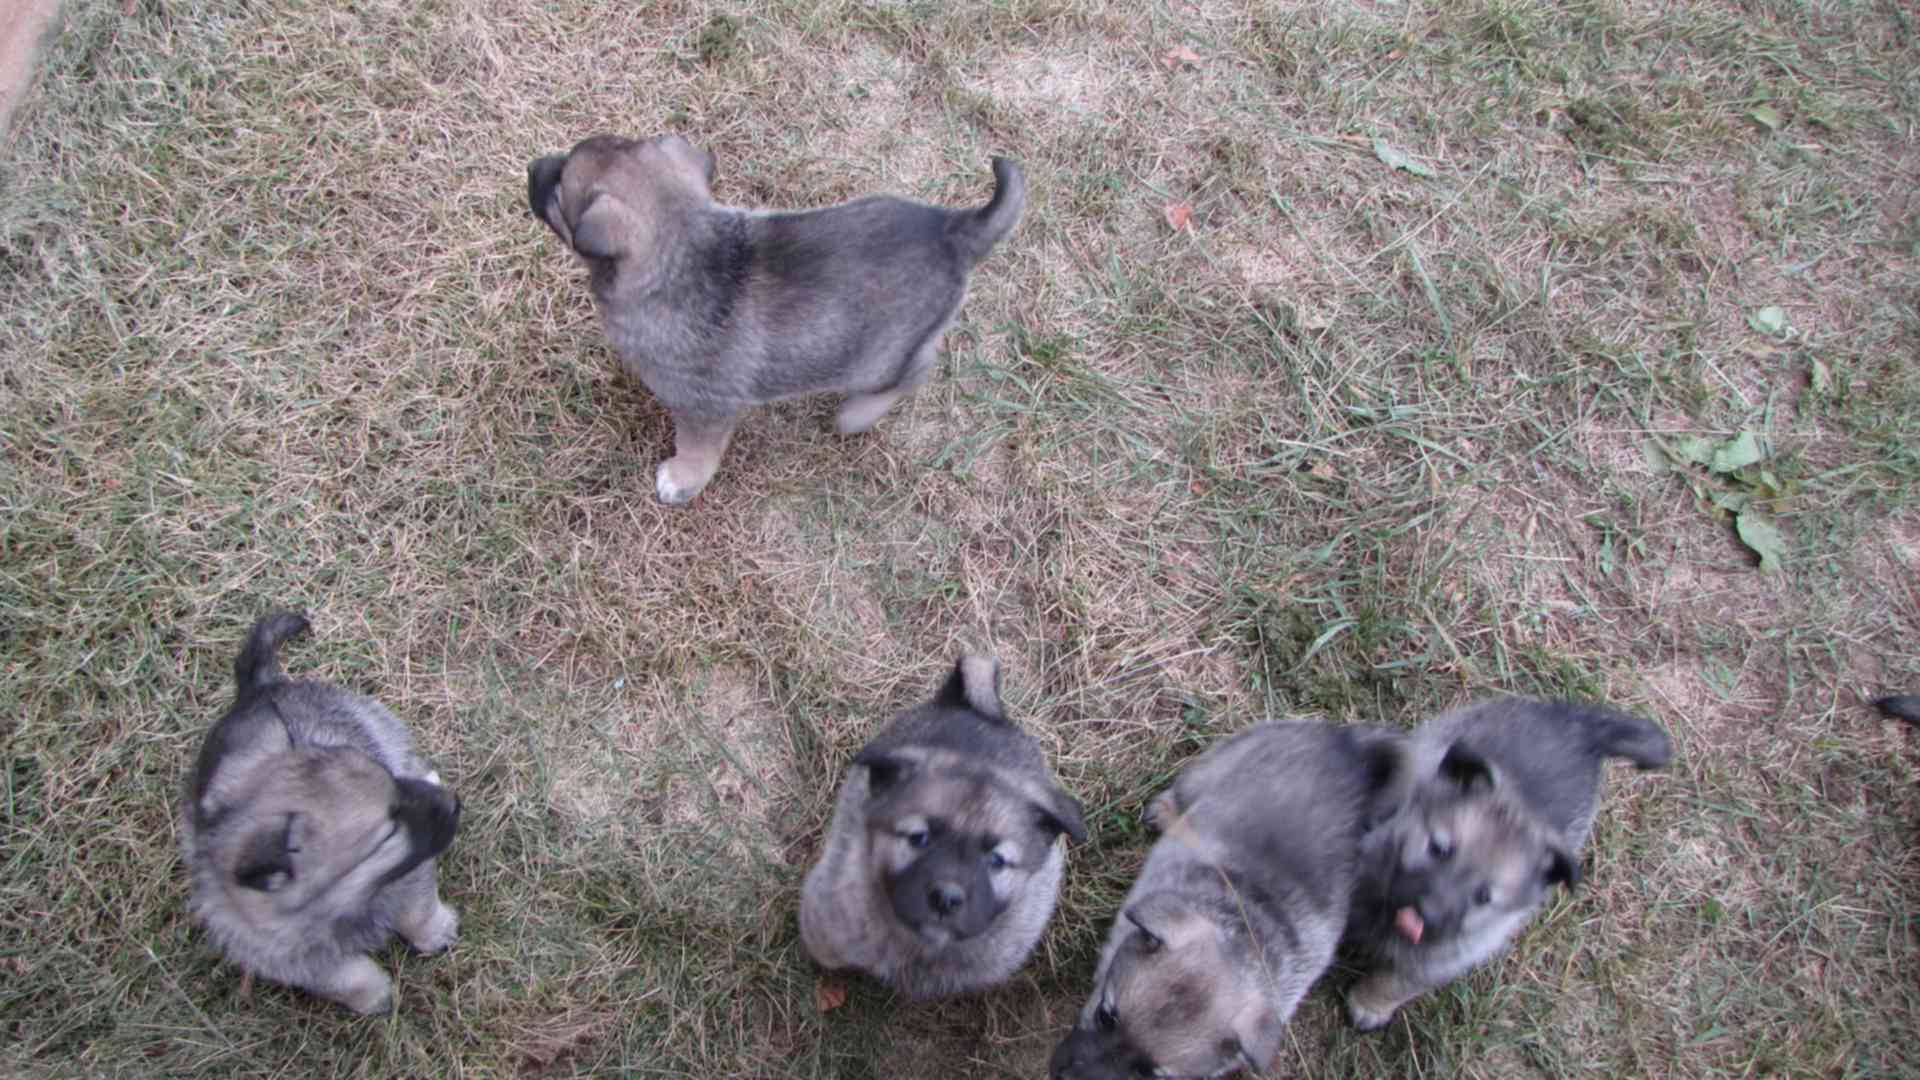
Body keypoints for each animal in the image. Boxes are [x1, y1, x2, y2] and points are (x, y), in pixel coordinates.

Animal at [180, 614, 464, 1006]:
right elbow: (345, 978)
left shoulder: (411, 875)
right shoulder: (285, 955)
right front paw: (375, 995)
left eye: (390, 782)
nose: (454, 804)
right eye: (386, 833)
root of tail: (255, 689)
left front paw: (436, 932)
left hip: (372, 721)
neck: (348, 901)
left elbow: (418, 910)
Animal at [526, 133, 1029, 499]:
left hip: (877, 357)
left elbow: (696, 450)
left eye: (559, 190)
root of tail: (956, 231)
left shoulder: (707, 411)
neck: (686, 253)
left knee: (914, 372)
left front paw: (680, 481)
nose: (531, 167)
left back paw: (857, 415)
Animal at [1052, 714, 1413, 1076]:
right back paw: (1165, 812)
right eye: (1105, 1016)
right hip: (1219, 762)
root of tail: (1351, 752)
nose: (1064, 1075)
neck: (1241, 929)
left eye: (1149, 1073)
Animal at [1344, 691, 1674, 1030]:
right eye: (1439, 849)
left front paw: (1369, 1004)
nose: (1426, 913)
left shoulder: (1448, 955)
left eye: (1483, 896)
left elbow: (1399, 982)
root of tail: (1583, 729)